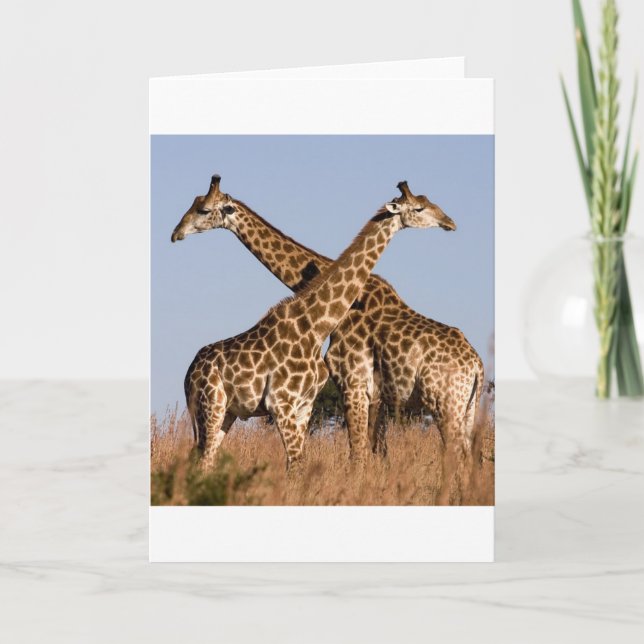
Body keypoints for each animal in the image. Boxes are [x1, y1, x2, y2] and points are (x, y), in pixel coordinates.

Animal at [172, 176, 484, 461]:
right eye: (421, 206)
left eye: (202, 209)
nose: (176, 233)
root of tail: (477, 366)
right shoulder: (367, 393)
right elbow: (370, 454)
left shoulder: (353, 384)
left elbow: (361, 455)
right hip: (463, 408)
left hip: (447, 404)